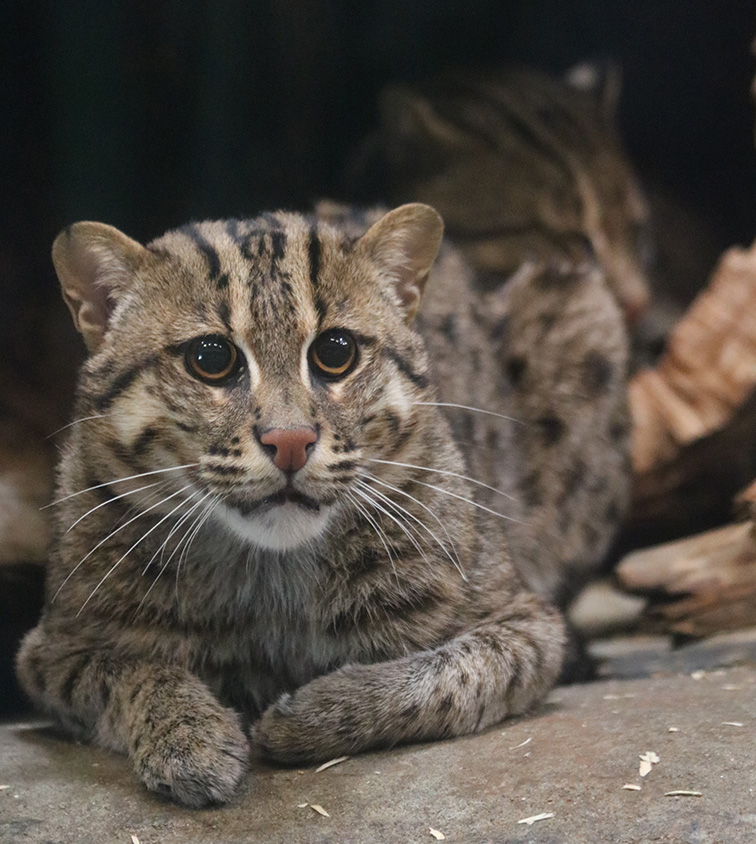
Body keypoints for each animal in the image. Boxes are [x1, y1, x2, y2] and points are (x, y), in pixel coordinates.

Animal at [19, 203, 632, 804]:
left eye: (337, 352)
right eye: (210, 358)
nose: (290, 441)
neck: (269, 570)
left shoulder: (526, 621)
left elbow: (449, 674)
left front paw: (313, 713)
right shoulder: (49, 650)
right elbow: (132, 671)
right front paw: (190, 737)